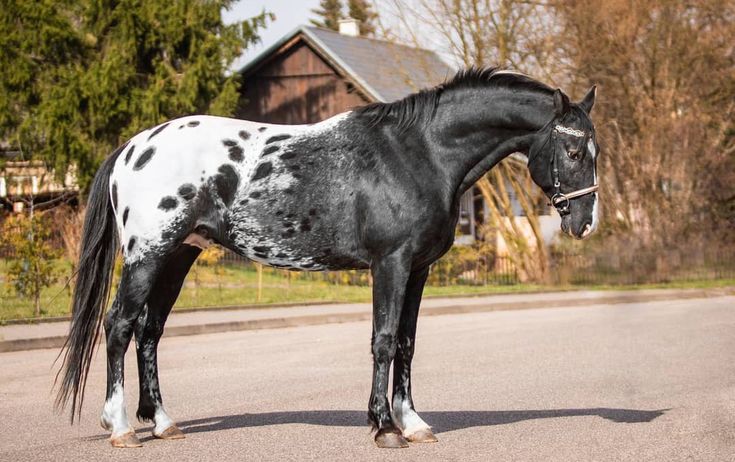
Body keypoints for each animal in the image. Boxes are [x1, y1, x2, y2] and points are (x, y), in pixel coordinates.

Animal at [56, 67, 600, 450]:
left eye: (595, 152)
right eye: (575, 153)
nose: (585, 222)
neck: (418, 152)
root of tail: (133, 147)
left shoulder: (418, 269)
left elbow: (407, 344)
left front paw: (412, 422)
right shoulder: (390, 264)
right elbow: (384, 341)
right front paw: (384, 428)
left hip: (179, 255)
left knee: (149, 332)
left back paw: (163, 422)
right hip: (148, 255)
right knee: (119, 325)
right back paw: (119, 427)